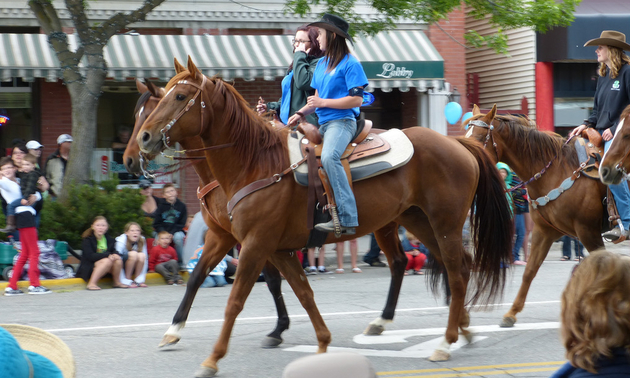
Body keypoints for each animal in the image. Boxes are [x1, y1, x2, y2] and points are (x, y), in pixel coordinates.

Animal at [137, 57, 512, 376]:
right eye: (163, 94)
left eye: (180, 96)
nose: (143, 139)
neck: (255, 163)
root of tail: (460, 145)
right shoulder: (260, 244)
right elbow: (296, 291)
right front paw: (321, 343)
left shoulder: (256, 244)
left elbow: (236, 301)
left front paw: (213, 359)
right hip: (416, 220)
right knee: (442, 265)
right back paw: (460, 328)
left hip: (444, 223)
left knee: (456, 272)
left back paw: (446, 342)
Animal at [466, 105, 608, 328]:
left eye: (479, 138)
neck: (556, 171)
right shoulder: (546, 231)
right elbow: (529, 271)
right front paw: (511, 313)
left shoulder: (588, 231)